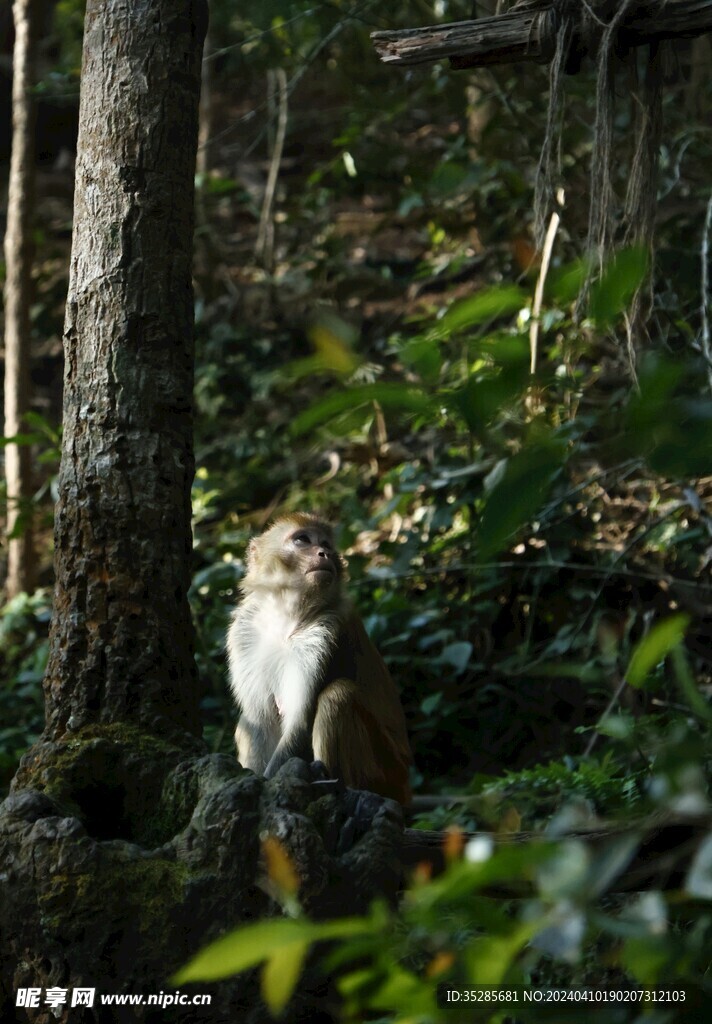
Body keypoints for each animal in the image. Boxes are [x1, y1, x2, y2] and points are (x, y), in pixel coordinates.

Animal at [228, 516, 411, 802]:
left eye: (325, 544)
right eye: (302, 540)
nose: (323, 553)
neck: (285, 616)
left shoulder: (326, 629)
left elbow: (299, 721)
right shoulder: (244, 633)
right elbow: (259, 720)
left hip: (387, 773)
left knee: (339, 695)